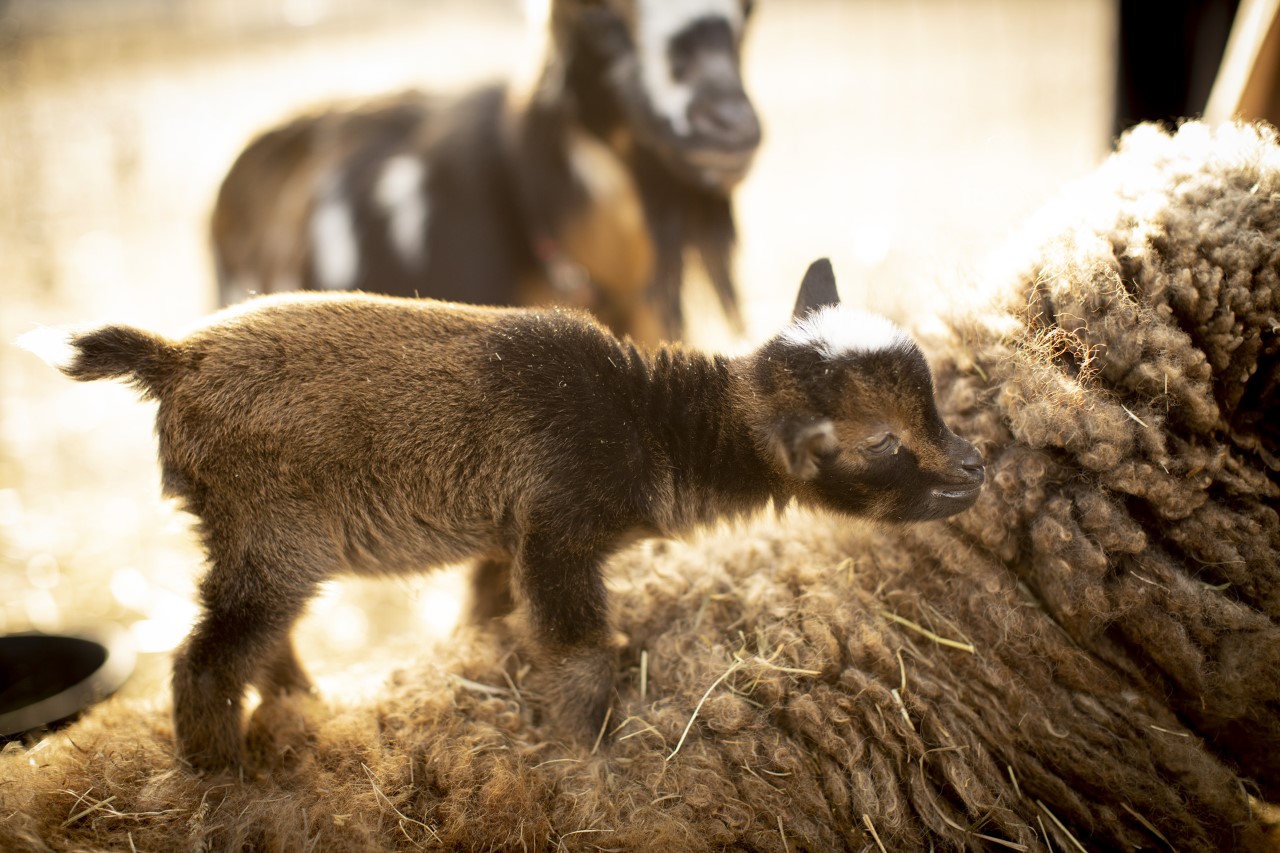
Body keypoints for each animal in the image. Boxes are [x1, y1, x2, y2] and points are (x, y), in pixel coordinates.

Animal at [19, 259, 984, 772]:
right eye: (881, 442)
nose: (975, 467)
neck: (650, 423)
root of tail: (174, 358)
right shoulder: (558, 530)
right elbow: (579, 646)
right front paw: (593, 748)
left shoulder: (511, 533)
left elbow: (494, 607)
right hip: (270, 530)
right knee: (204, 660)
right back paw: (222, 776)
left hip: (259, 538)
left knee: (261, 637)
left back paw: (300, 705)